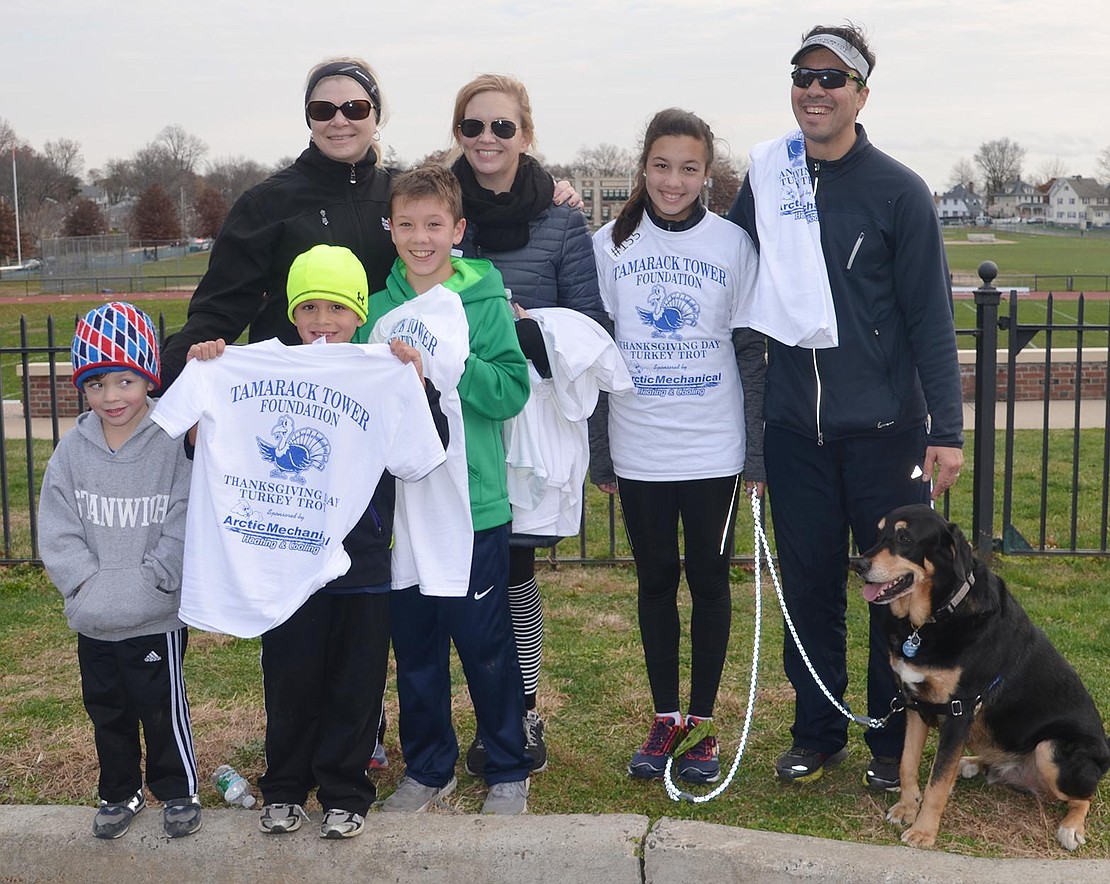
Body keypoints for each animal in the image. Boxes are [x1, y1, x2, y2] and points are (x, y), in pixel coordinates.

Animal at [852, 504, 1105, 848]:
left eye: (904, 538)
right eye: (879, 534)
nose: (857, 564)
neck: (935, 617)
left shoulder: (959, 709)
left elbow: (936, 784)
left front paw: (923, 831)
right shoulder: (914, 703)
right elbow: (907, 763)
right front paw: (906, 808)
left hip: (1051, 751)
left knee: (1085, 796)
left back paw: (1071, 827)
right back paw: (970, 763)